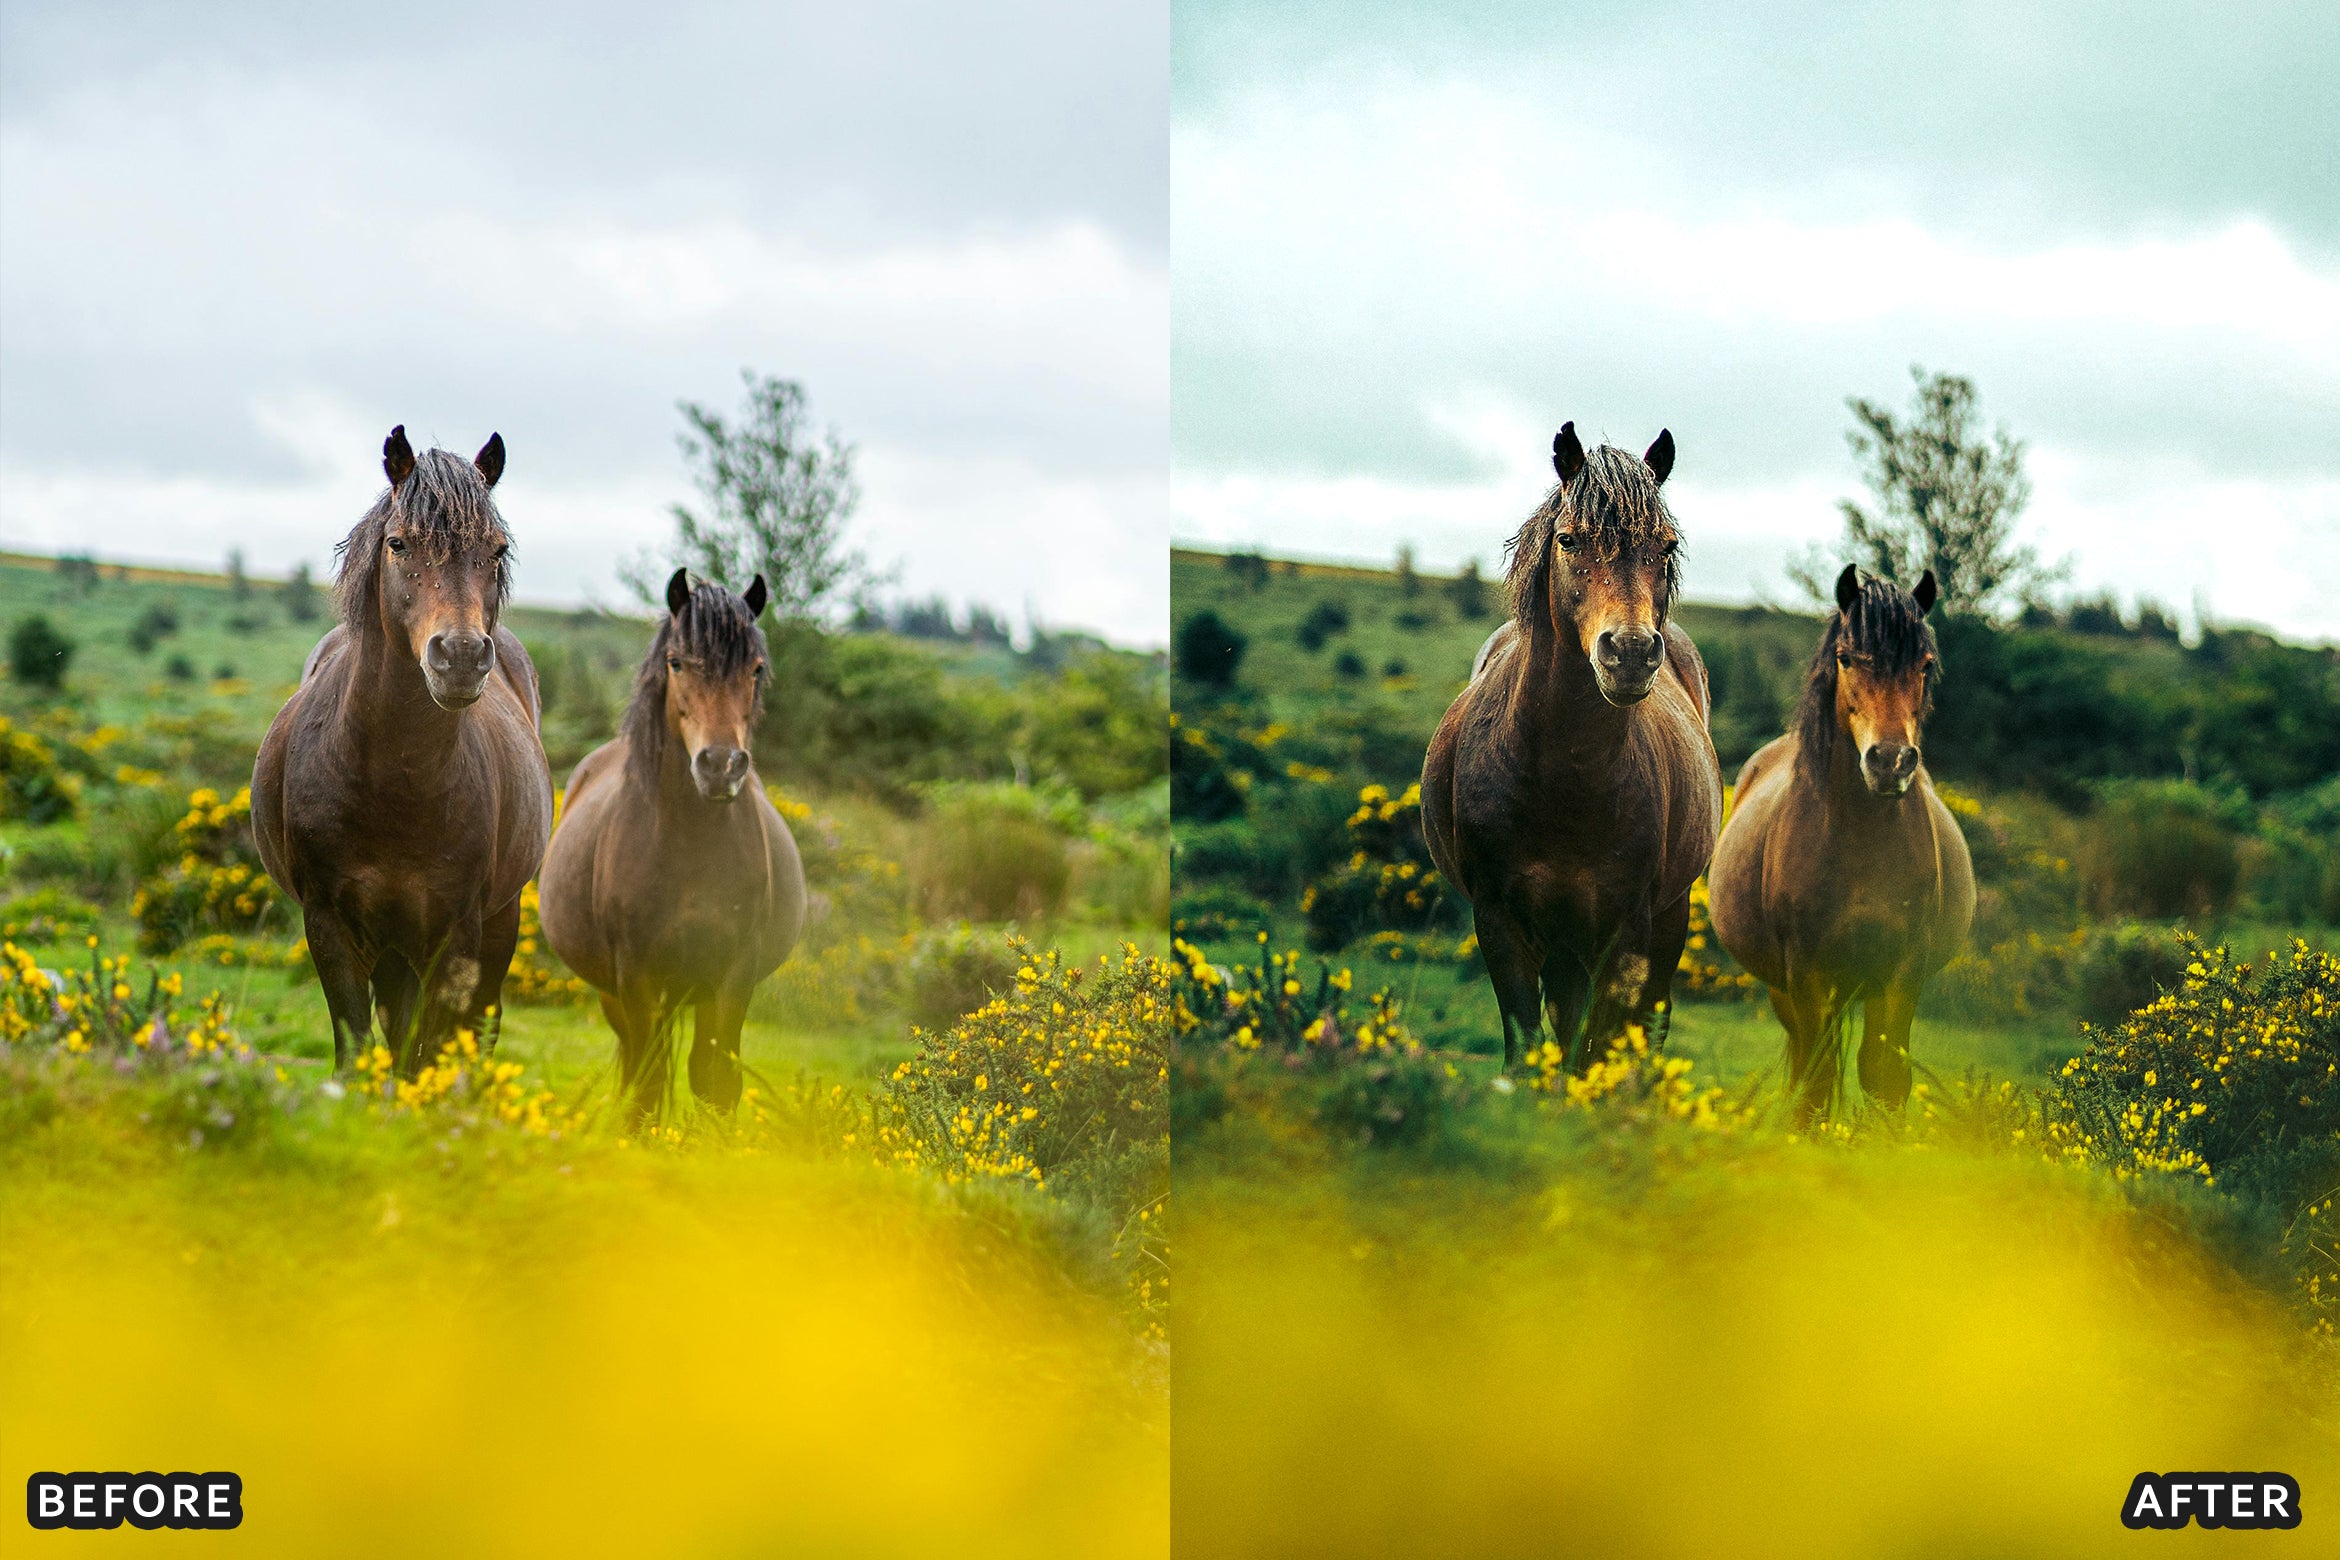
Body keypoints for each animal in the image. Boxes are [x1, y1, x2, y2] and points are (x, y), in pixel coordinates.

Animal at [252, 426, 553, 1072]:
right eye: (398, 543)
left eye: (496, 550)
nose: (461, 656)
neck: (394, 782)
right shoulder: (328, 925)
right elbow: (358, 1050)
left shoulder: (458, 935)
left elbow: (429, 1054)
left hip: (498, 922)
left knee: (478, 1026)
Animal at [536, 569, 807, 1122]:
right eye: (677, 662)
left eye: (755, 668)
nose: (721, 766)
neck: (688, 843)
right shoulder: (635, 976)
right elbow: (647, 1085)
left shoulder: (732, 975)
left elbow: (715, 1083)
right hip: (617, 995)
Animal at [1422, 423, 1724, 1069]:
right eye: (1568, 539)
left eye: (1665, 546)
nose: (1631, 652)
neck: (1564, 778)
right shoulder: (1499, 922)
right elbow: (1529, 1049)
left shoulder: (1627, 932)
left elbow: (1599, 1049)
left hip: (1667, 918)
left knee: (1649, 1025)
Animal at [1706, 564, 1976, 1120]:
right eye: (1846, 658)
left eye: (1925, 664)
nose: (1890, 762)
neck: (1860, 841)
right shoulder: (1806, 972)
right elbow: (1817, 1081)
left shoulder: (1900, 971)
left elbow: (1884, 1077)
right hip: (1784, 990)